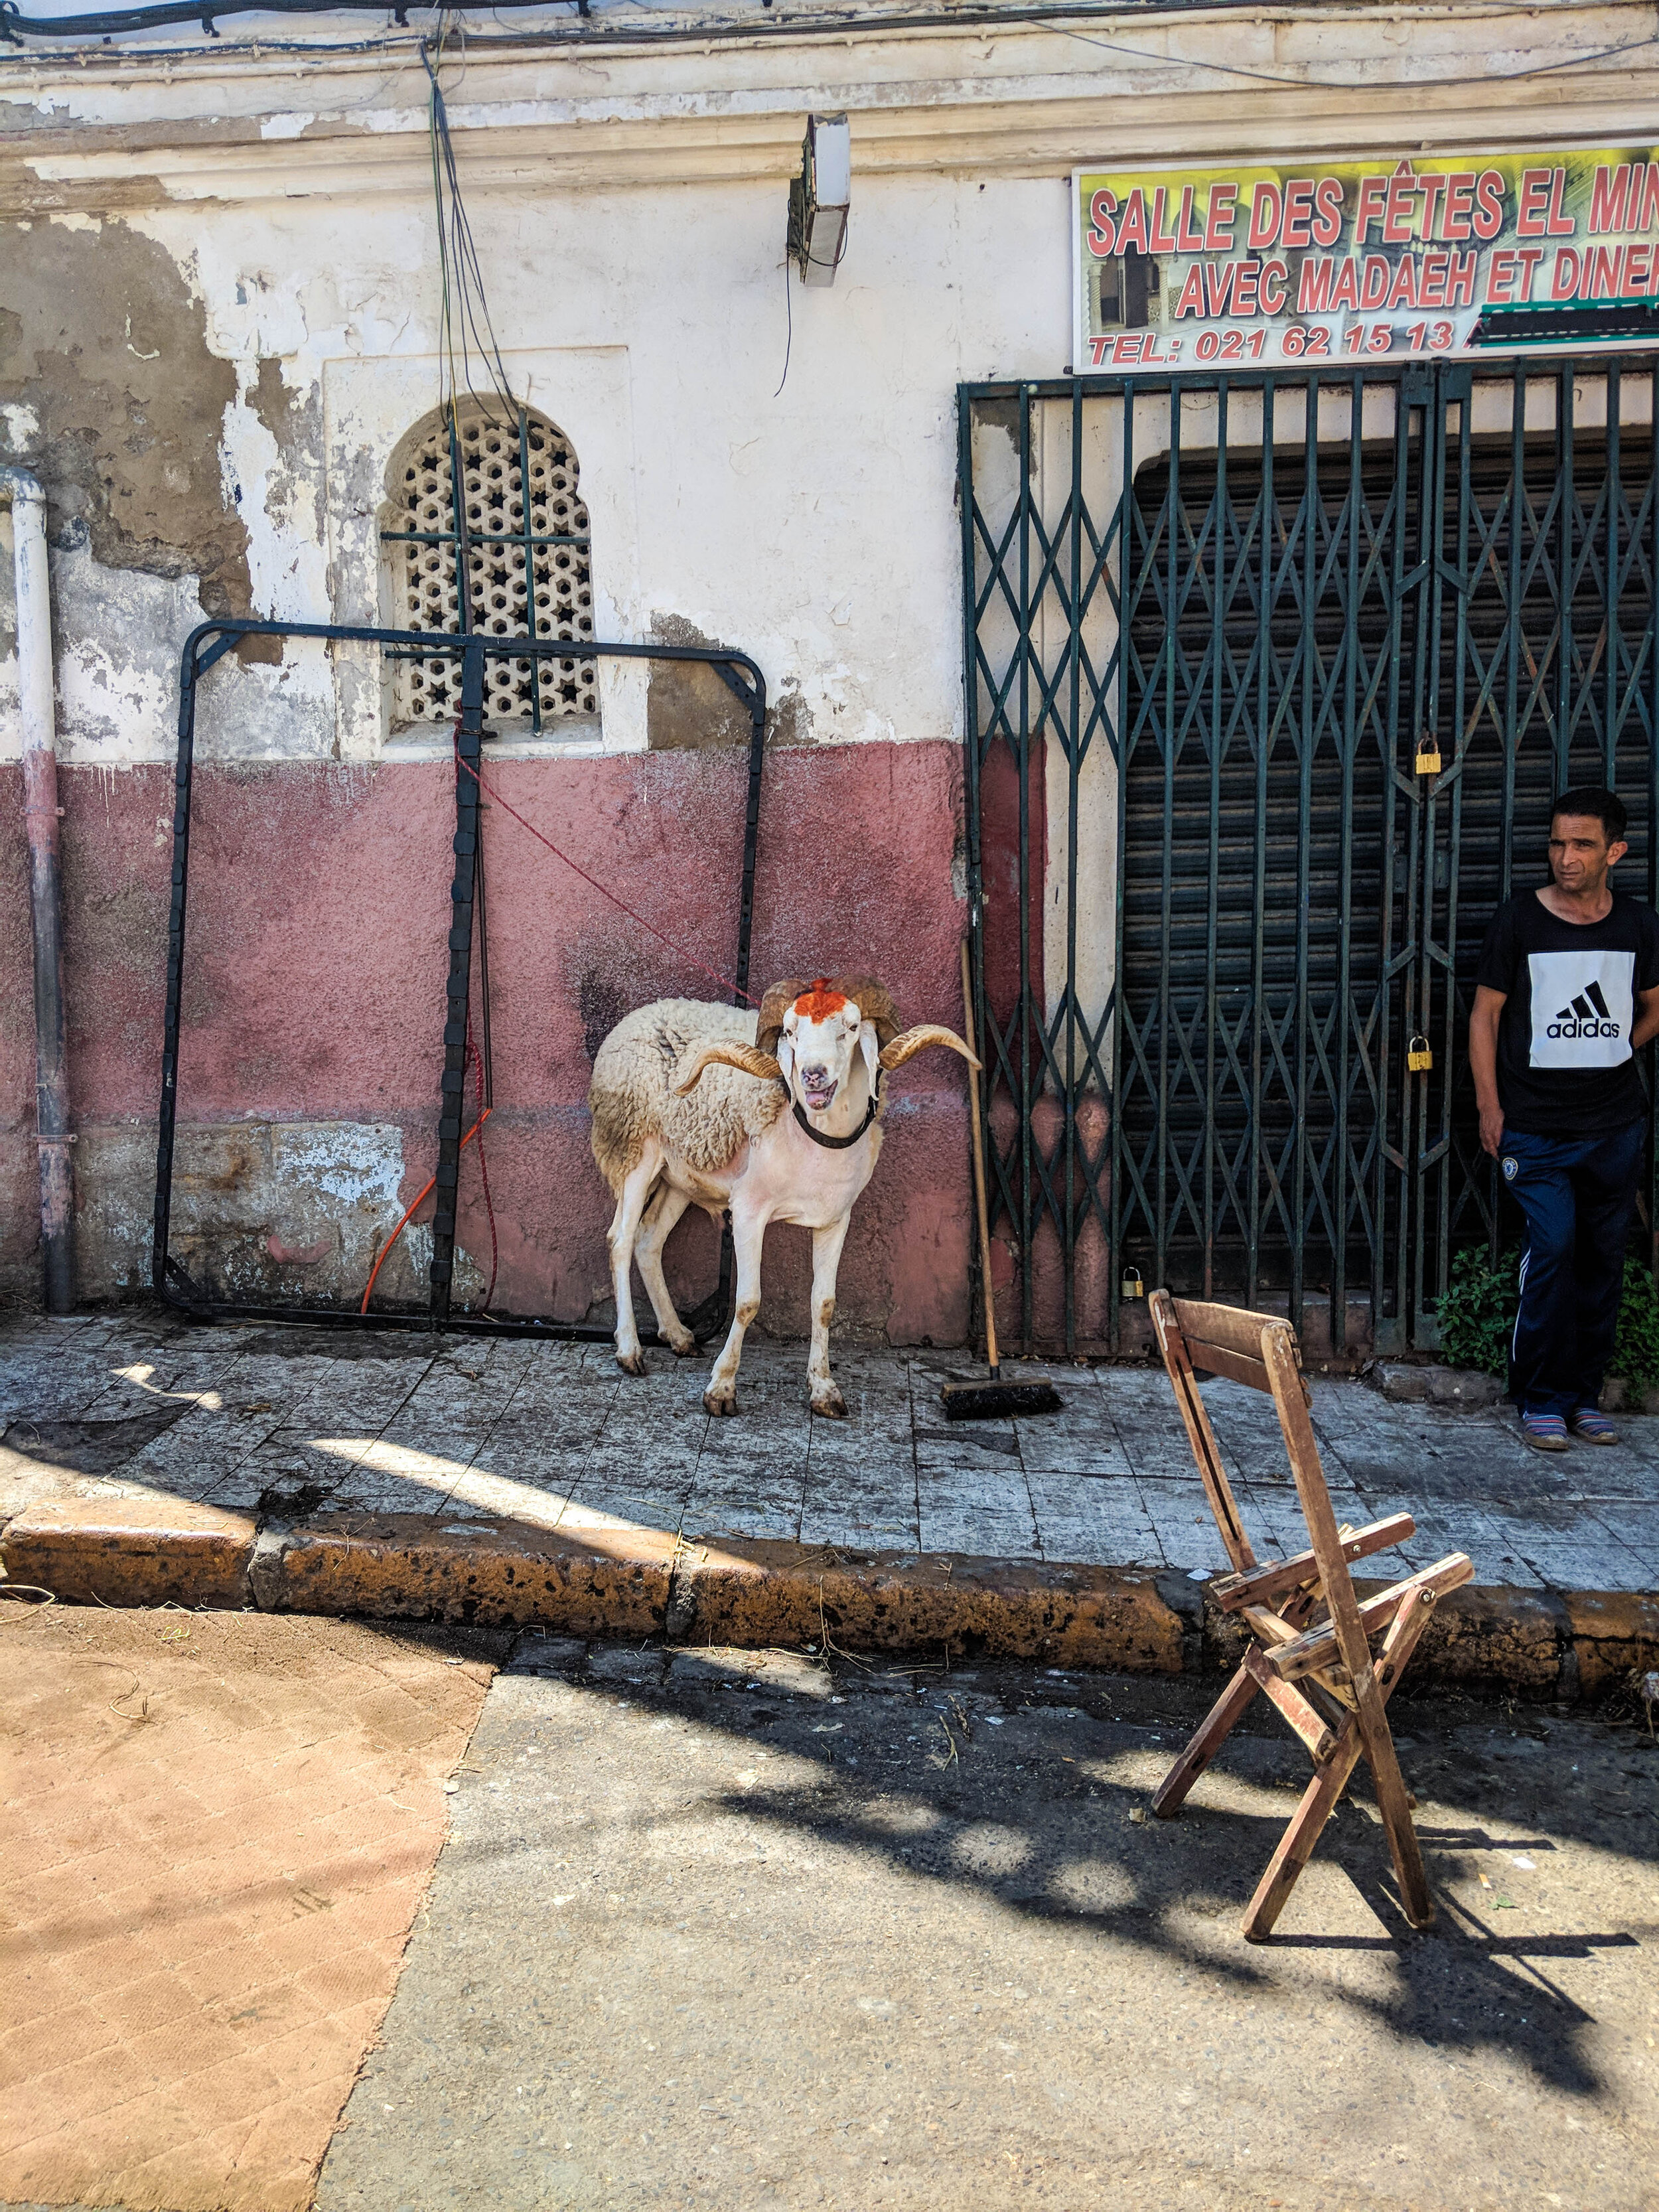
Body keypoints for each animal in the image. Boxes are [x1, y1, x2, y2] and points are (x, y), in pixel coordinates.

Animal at [593, 982, 982, 1416]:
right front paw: (721, 1389)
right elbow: (747, 1302)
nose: (813, 1075)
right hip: (633, 1148)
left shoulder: (836, 1218)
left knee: (649, 1241)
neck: (813, 1138)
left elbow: (824, 1303)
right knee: (620, 1240)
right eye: (790, 1032)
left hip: (681, 1173)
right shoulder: (748, 1210)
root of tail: (641, 1014)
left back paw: (678, 1335)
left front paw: (824, 1389)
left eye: (851, 1028)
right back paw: (629, 1350)